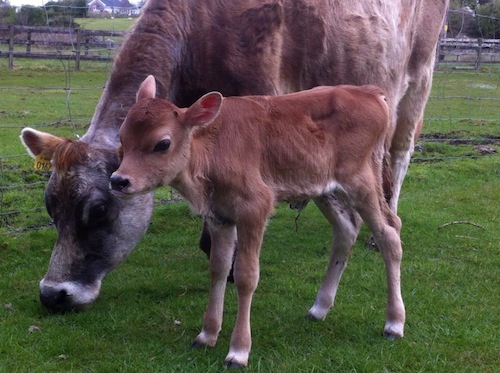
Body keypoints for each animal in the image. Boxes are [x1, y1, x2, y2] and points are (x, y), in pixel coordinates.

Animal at [111, 75, 404, 366]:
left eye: (162, 143)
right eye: (122, 138)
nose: (118, 180)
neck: (211, 146)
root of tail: (370, 92)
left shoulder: (254, 208)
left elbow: (246, 275)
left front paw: (238, 350)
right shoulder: (219, 216)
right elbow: (218, 268)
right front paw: (206, 335)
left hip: (361, 181)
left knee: (389, 233)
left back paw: (394, 323)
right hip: (324, 189)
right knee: (346, 230)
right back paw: (319, 308)